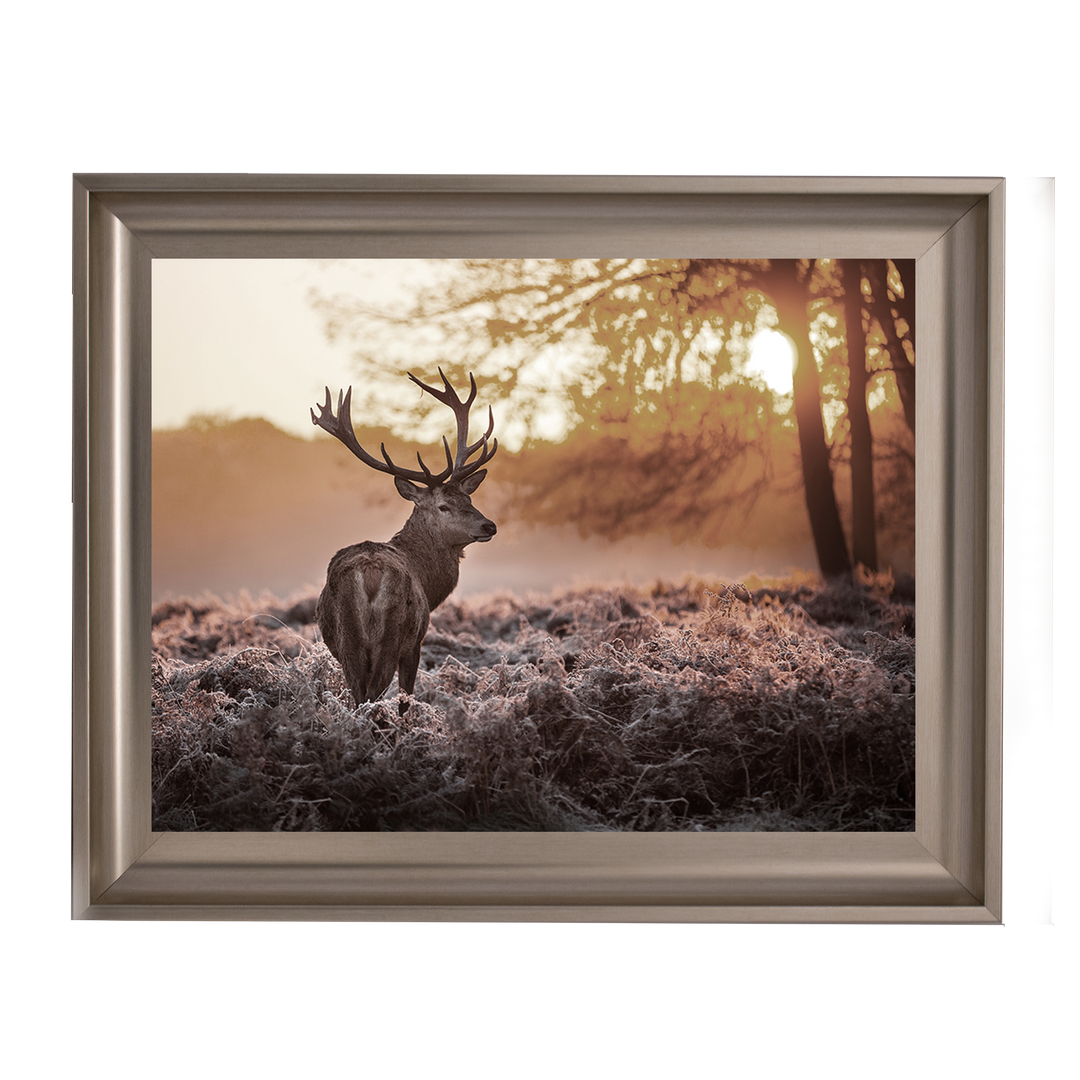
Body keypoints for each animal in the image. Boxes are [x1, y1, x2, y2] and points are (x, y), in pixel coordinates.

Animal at [311, 369, 498, 717]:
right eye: (444, 506)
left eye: (469, 498)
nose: (488, 525)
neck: (428, 581)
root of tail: (369, 574)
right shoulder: (416, 642)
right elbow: (406, 699)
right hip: (392, 635)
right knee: (374, 695)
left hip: (347, 640)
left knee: (358, 695)